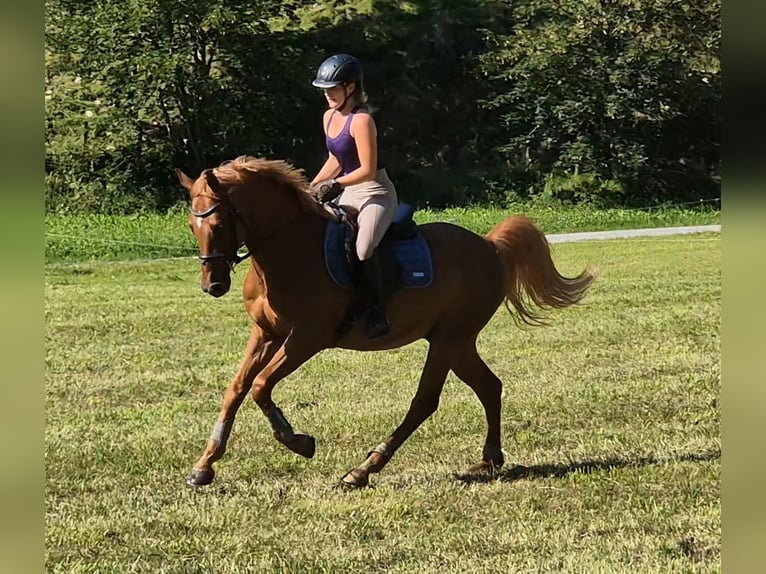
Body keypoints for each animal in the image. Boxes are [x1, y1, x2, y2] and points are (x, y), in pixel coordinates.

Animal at [175, 156, 595, 488]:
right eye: (193, 227)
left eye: (217, 224)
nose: (213, 285)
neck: (287, 250)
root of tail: (490, 246)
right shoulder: (265, 333)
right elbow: (236, 389)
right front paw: (203, 467)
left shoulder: (307, 338)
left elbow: (261, 386)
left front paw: (300, 442)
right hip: (457, 342)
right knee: (489, 387)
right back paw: (488, 458)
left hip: (449, 340)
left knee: (424, 401)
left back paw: (363, 469)